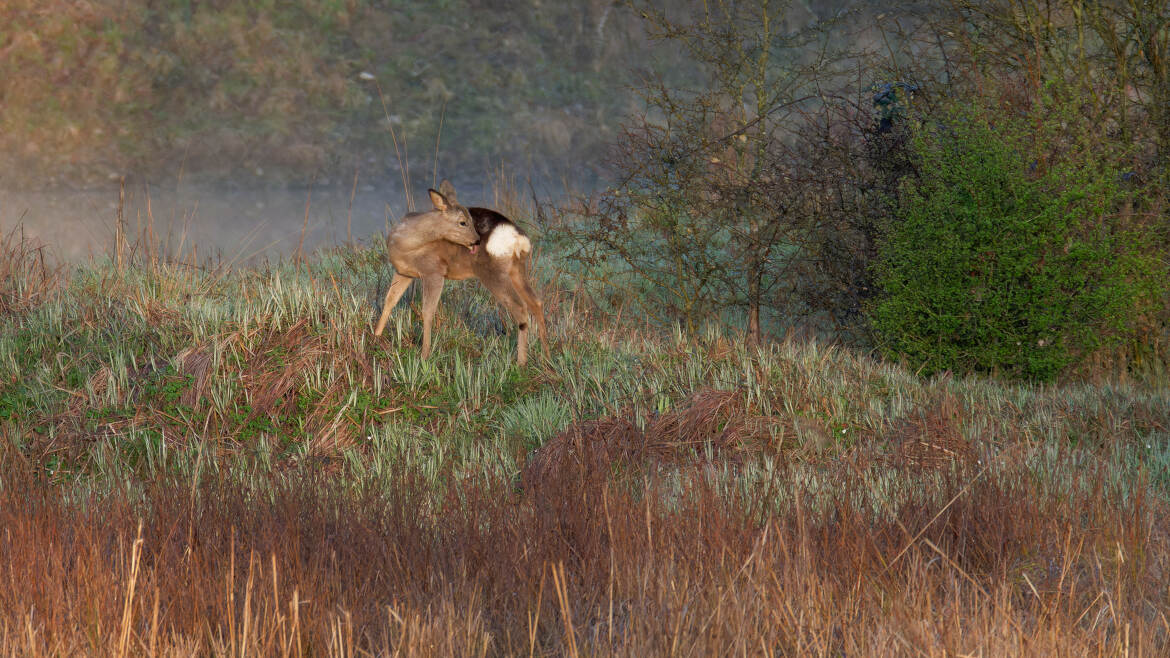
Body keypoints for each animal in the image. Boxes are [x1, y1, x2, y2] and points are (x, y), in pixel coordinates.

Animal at [376, 179, 549, 362]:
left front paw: (424, 355)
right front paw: (376, 336)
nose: (477, 241)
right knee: (536, 302)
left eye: (471, 220)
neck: (404, 244)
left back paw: (521, 362)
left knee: (520, 307)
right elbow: (389, 301)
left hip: (492, 272)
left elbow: (427, 312)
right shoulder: (404, 272)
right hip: (517, 269)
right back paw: (546, 355)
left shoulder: (434, 271)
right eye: (463, 222)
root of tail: (519, 239)